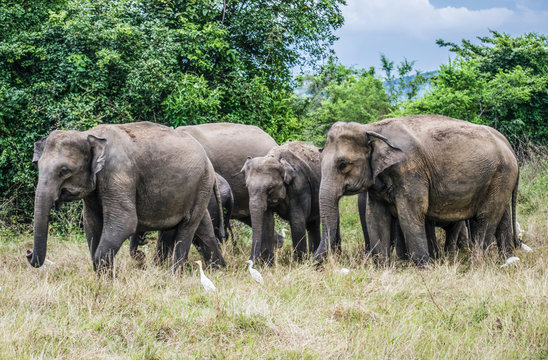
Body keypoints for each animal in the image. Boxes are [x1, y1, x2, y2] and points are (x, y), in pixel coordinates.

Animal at [27, 121, 225, 272]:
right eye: (38, 166)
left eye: (64, 171)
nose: (28, 253)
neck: (91, 135)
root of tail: (209, 164)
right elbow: (91, 224)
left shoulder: (118, 174)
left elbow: (125, 222)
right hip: (199, 188)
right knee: (202, 227)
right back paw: (218, 269)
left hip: (202, 183)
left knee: (187, 227)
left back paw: (174, 275)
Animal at [314, 114, 520, 266]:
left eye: (343, 164)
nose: (315, 264)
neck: (371, 128)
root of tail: (507, 144)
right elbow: (376, 218)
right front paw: (383, 268)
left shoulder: (410, 170)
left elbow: (410, 215)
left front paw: (423, 268)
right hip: (500, 178)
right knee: (502, 217)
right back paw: (506, 259)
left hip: (501, 173)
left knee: (486, 217)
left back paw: (477, 262)